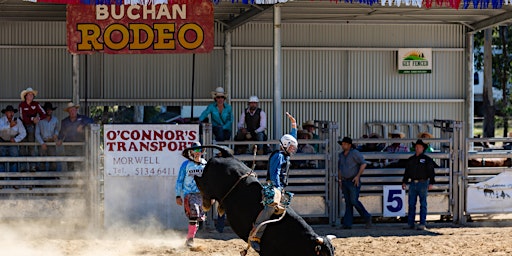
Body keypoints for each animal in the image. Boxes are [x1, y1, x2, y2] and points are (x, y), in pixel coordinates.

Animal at [184, 145, 336, 256]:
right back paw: (206, 203)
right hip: (208, 182)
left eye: (333, 252)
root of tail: (228, 155)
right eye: (323, 254)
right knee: (198, 180)